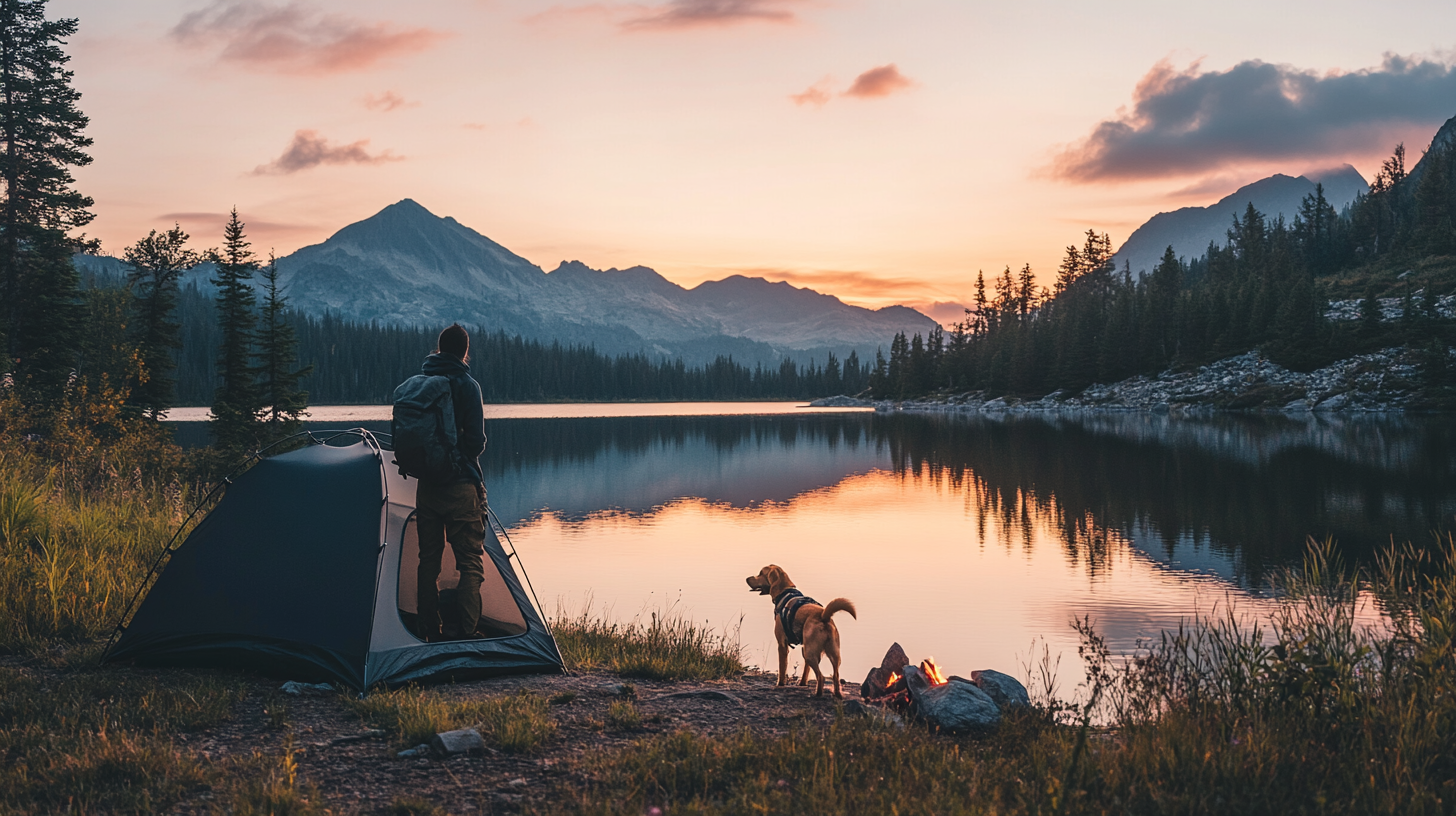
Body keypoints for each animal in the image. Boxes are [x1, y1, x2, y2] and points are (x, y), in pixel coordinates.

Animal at [751, 565, 850, 699]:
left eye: (760, 573)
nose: (747, 579)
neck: (785, 592)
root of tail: (824, 616)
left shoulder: (782, 644)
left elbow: (782, 668)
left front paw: (780, 684)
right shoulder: (804, 646)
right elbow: (806, 671)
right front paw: (802, 683)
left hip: (810, 653)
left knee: (821, 677)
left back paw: (817, 694)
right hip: (832, 653)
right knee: (835, 676)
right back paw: (837, 694)